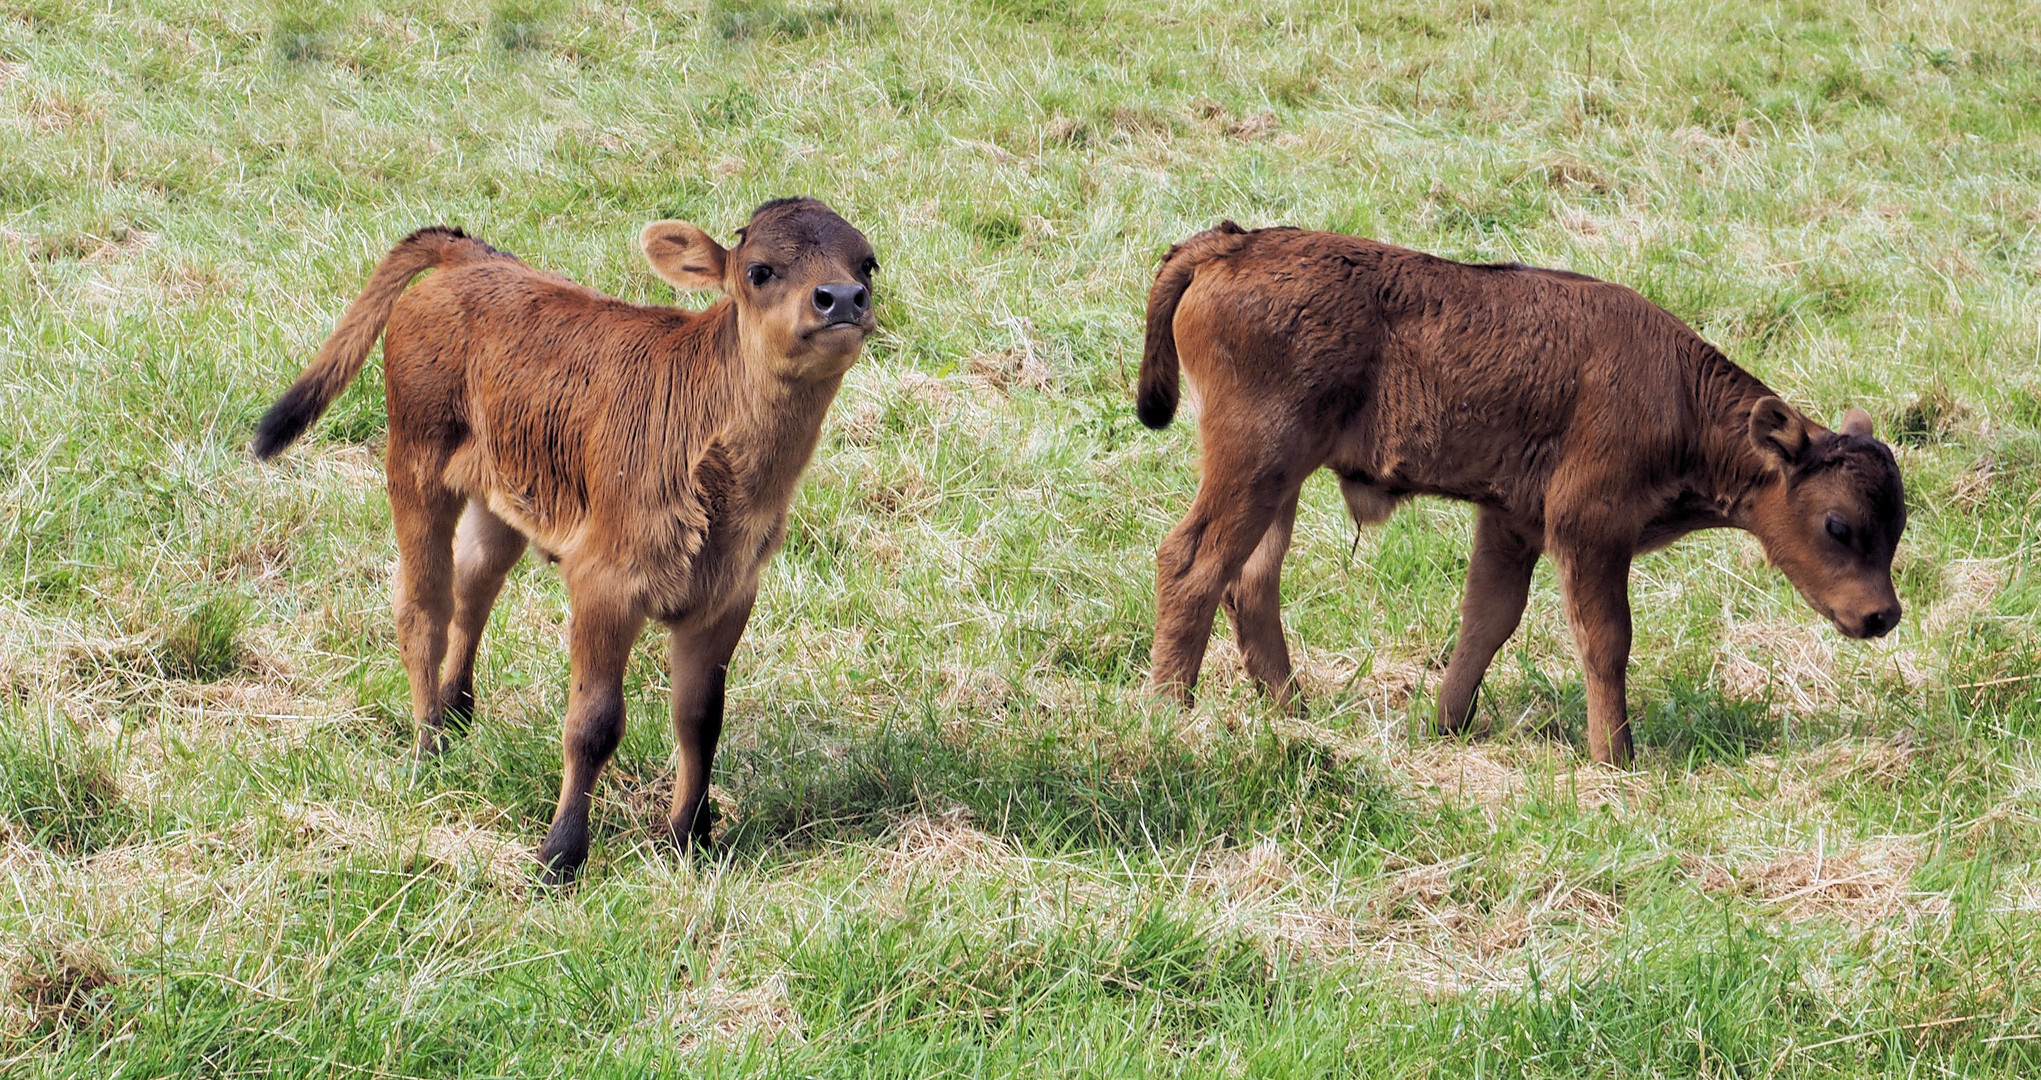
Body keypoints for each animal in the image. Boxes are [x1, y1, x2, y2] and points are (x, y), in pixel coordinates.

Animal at [253, 198, 877, 881]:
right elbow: (594, 722)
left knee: (475, 582)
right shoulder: (606, 580)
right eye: (761, 270)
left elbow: (699, 719)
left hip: (502, 491)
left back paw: (457, 713)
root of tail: (474, 257)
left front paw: (688, 839)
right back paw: (427, 748)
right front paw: (559, 856)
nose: (842, 299)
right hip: (415, 456)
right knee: (423, 605)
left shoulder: (729, 591)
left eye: (867, 264)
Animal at [1142, 218, 1902, 763]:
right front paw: (1617, 757)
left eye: (1896, 527)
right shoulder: (1589, 529)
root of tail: (1231, 244)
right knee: (1192, 562)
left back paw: (1294, 713)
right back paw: (1171, 713)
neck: (1677, 396)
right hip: (1255, 460)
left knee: (1250, 581)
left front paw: (1445, 725)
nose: (1881, 616)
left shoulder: (1511, 525)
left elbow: (1486, 621)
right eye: (1838, 525)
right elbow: (1605, 639)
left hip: (1280, 482)